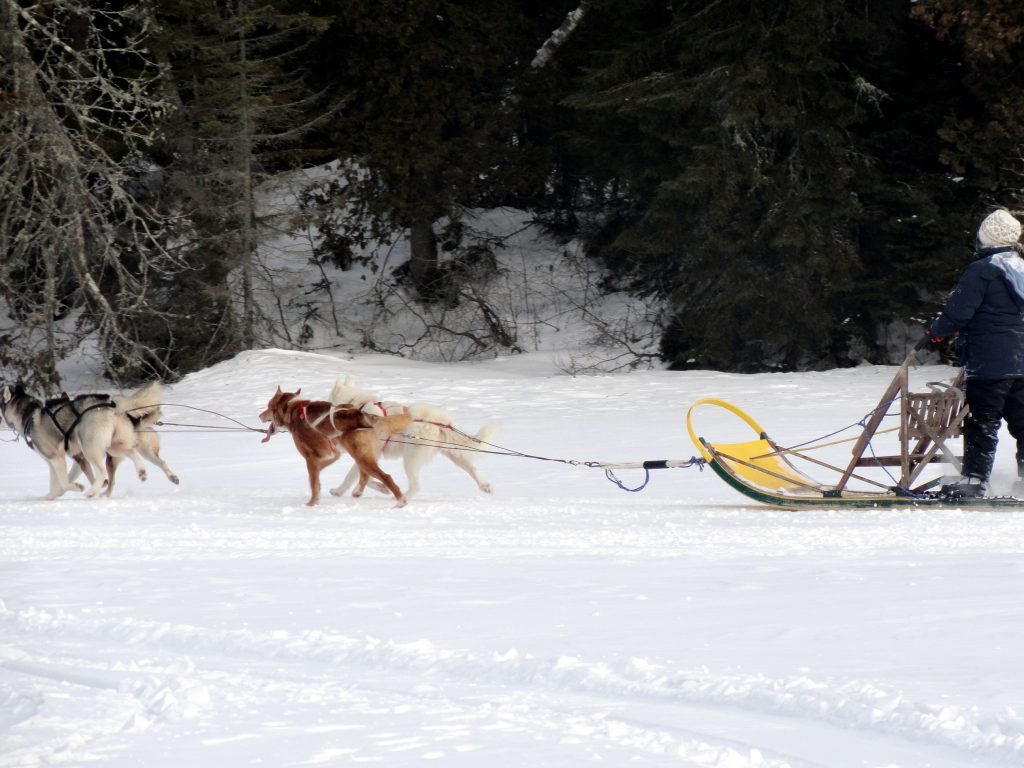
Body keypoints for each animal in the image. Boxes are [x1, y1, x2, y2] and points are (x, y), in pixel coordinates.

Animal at [0, 382, 176, 501]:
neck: (29, 415)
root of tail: (112, 405)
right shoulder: (59, 461)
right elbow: (57, 484)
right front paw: (49, 497)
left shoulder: (57, 458)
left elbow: (64, 482)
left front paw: (77, 487)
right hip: (115, 447)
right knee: (135, 454)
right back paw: (143, 472)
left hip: (92, 449)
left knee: (103, 474)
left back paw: (92, 492)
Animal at [258, 387, 409, 507]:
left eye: (268, 407)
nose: (259, 415)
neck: (293, 410)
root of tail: (362, 414)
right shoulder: (332, 454)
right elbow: (317, 477)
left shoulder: (311, 458)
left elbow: (313, 483)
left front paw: (311, 503)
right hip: (361, 456)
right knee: (365, 475)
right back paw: (360, 491)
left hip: (361, 456)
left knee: (385, 476)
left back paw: (400, 501)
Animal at [325, 376, 497, 501]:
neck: (357, 407)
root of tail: (440, 420)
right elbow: (366, 478)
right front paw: (381, 488)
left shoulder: (365, 455)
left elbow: (352, 476)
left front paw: (338, 491)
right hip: (454, 454)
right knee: (472, 469)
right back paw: (485, 486)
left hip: (410, 458)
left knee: (416, 486)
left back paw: (402, 498)